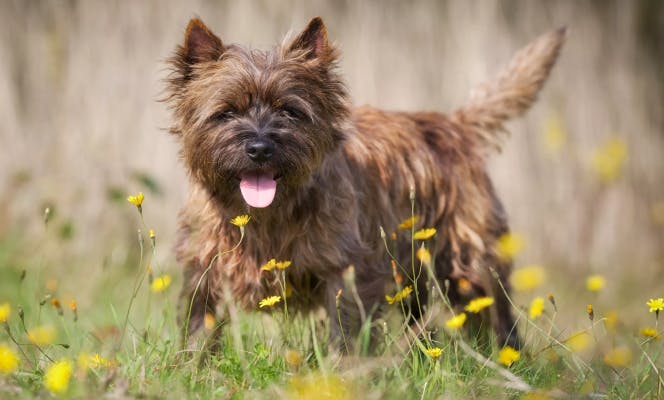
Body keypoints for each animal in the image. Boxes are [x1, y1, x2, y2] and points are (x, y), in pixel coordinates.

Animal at [165, 16, 564, 354]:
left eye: (289, 111)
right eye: (226, 112)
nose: (260, 148)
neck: (266, 215)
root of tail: (456, 124)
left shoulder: (347, 270)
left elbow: (345, 330)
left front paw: (341, 374)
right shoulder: (205, 266)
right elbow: (199, 324)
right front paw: (193, 369)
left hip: (469, 259)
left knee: (494, 312)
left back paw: (505, 359)